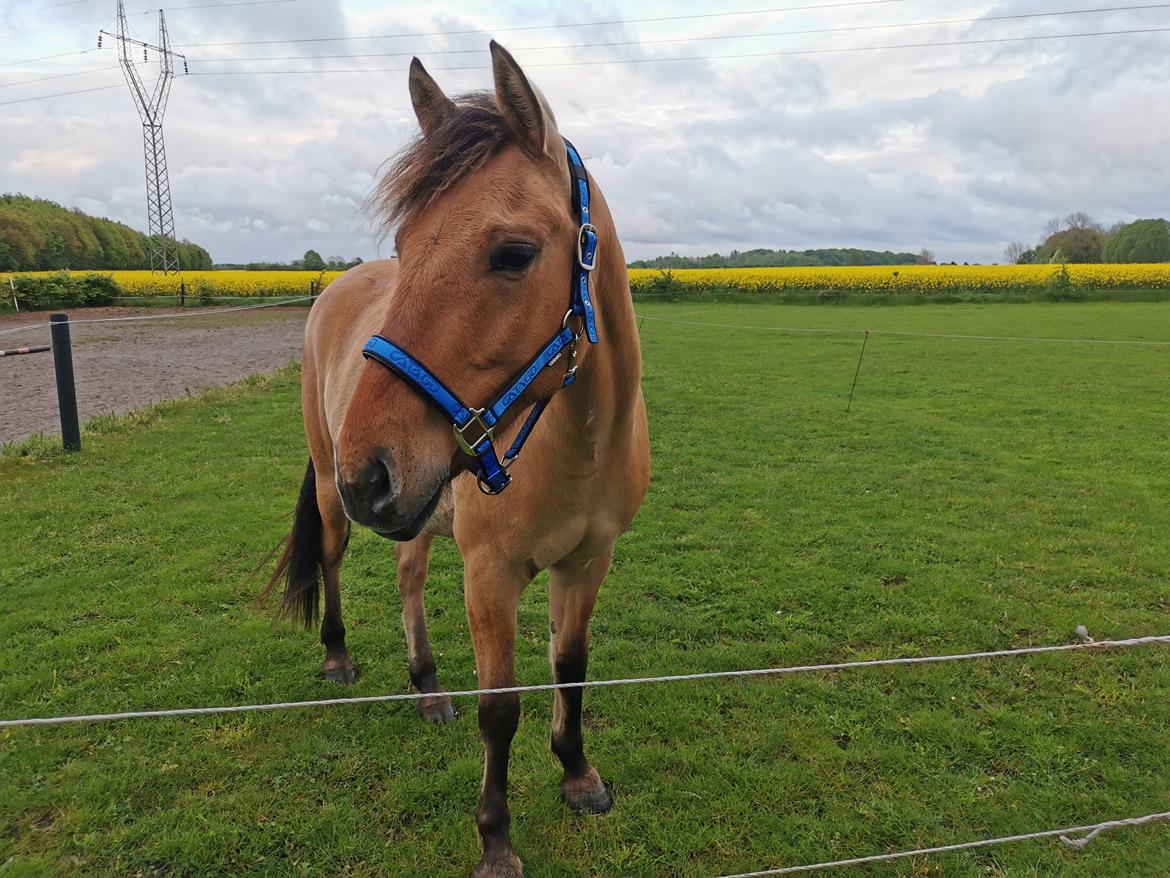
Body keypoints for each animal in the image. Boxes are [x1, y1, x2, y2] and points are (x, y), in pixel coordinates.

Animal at [266, 43, 650, 878]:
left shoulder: (589, 562)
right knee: (336, 557)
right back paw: (339, 658)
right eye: (407, 248)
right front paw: (496, 840)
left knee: (408, 575)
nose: (369, 471)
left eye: (513, 253)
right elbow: (499, 710)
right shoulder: (490, 575)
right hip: (335, 490)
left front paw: (578, 775)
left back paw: (428, 685)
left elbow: (570, 665)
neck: (579, 441)